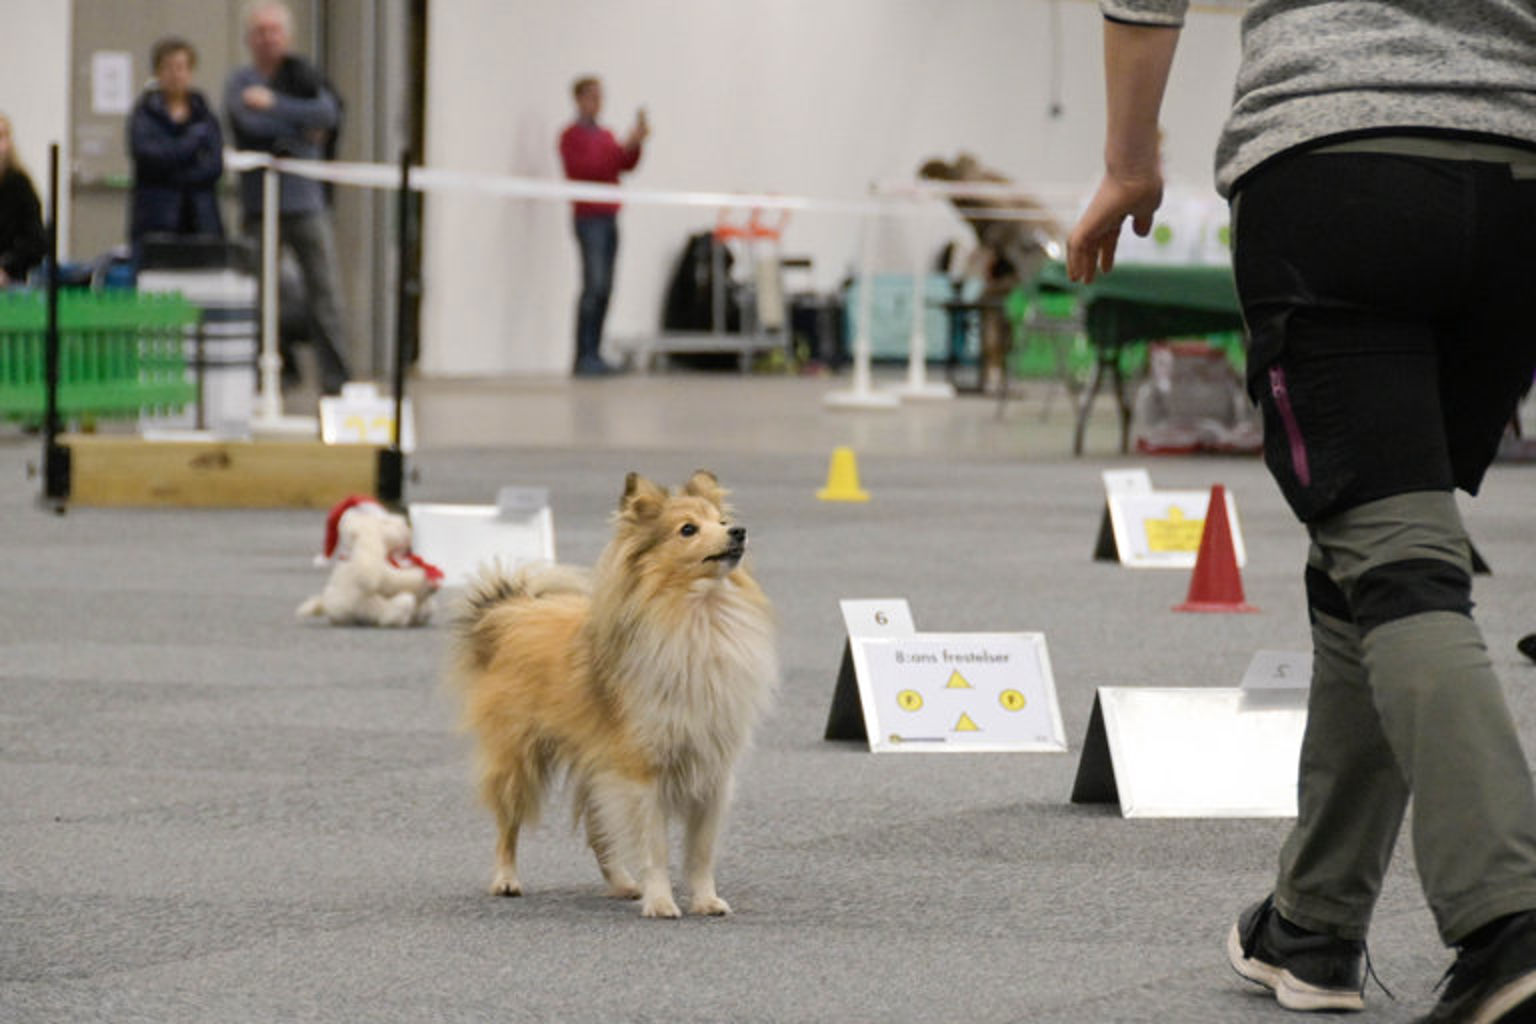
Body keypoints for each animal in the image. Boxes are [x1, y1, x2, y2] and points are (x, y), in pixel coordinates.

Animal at [448, 469, 774, 914]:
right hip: (519, 758)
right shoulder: (644, 772)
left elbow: (700, 851)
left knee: (598, 831)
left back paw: (621, 883)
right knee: (508, 825)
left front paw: (706, 901)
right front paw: (661, 903)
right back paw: (506, 880)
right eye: (688, 529)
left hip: (596, 765)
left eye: (722, 521)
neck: (697, 616)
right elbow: (656, 848)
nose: (738, 531)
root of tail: (510, 612)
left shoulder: (712, 773)